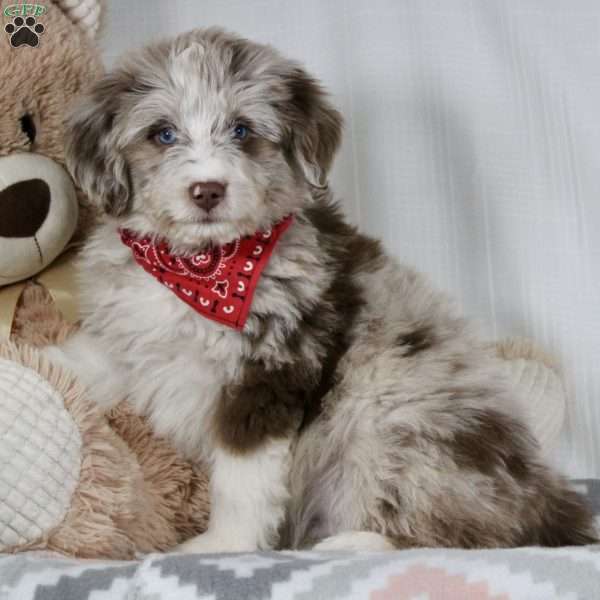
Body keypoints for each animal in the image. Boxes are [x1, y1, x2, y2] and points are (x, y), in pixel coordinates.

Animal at [54, 29, 596, 552]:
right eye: (162, 134)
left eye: (242, 130)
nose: (207, 190)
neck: (203, 269)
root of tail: (548, 505)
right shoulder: (129, 330)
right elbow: (88, 361)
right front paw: (38, 367)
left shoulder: (270, 372)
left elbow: (243, 481)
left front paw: (224, 544)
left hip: (401, 425)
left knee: (461, 532)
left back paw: (352, 543)